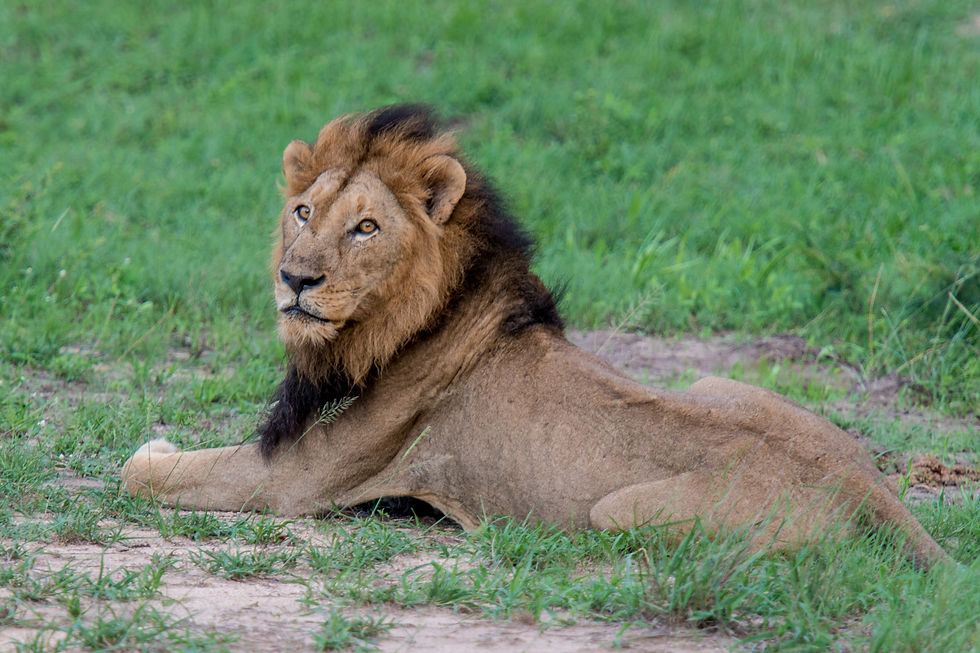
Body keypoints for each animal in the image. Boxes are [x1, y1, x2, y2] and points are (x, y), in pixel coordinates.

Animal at [122, 105, 946, 569]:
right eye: (302, 211)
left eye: (367, 227)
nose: (295, 278)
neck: (392, 326)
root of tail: (869, 490)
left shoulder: (296, 479)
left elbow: (144, 473)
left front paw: (154, 446)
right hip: (714, 382)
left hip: (617, 513)